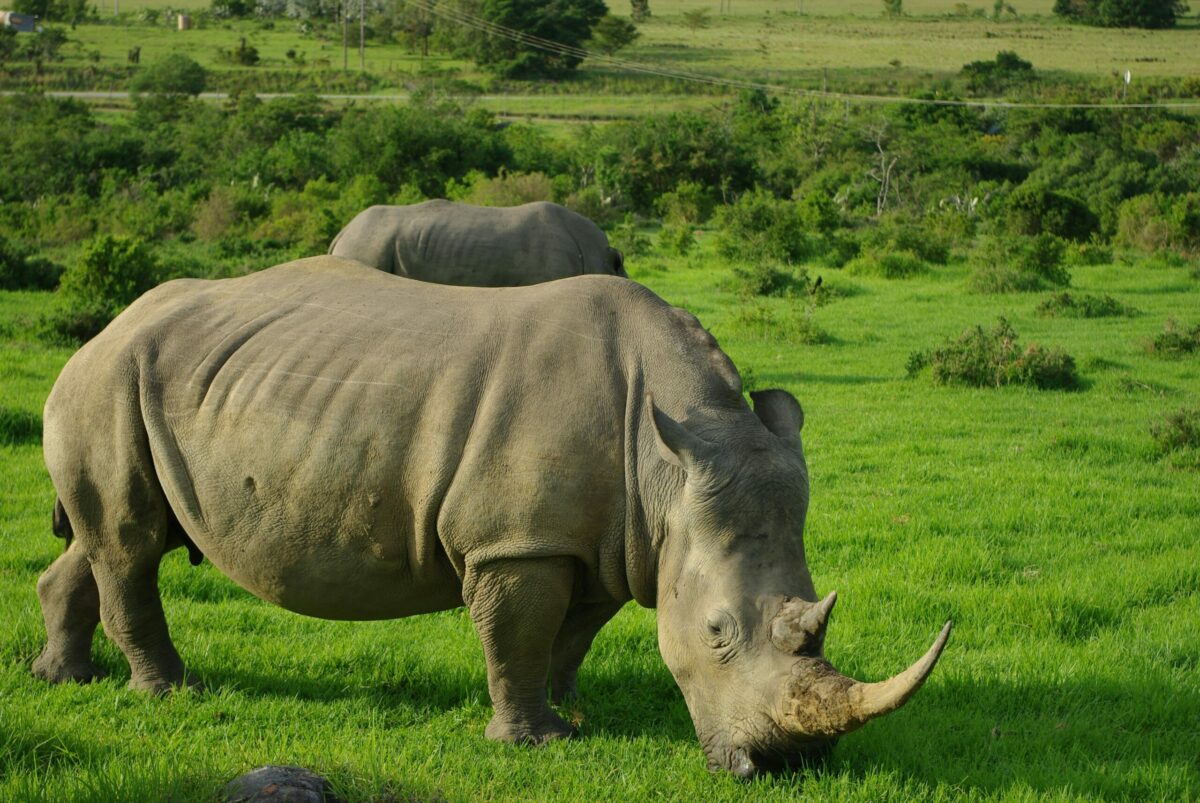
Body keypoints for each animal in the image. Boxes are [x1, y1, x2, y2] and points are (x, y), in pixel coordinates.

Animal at [34, 257, 949, 776]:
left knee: (110, 536)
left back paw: (60, 678)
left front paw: (573, 711)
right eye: (718, 633)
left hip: (142, 381)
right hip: (109, 377)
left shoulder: (609, 537)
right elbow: (517, 632)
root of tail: (107, 324)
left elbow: (569, 632)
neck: (664, 465)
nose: (796, 766)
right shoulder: (518, 541)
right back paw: (169, 691)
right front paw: (533, 743)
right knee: (130, 541)